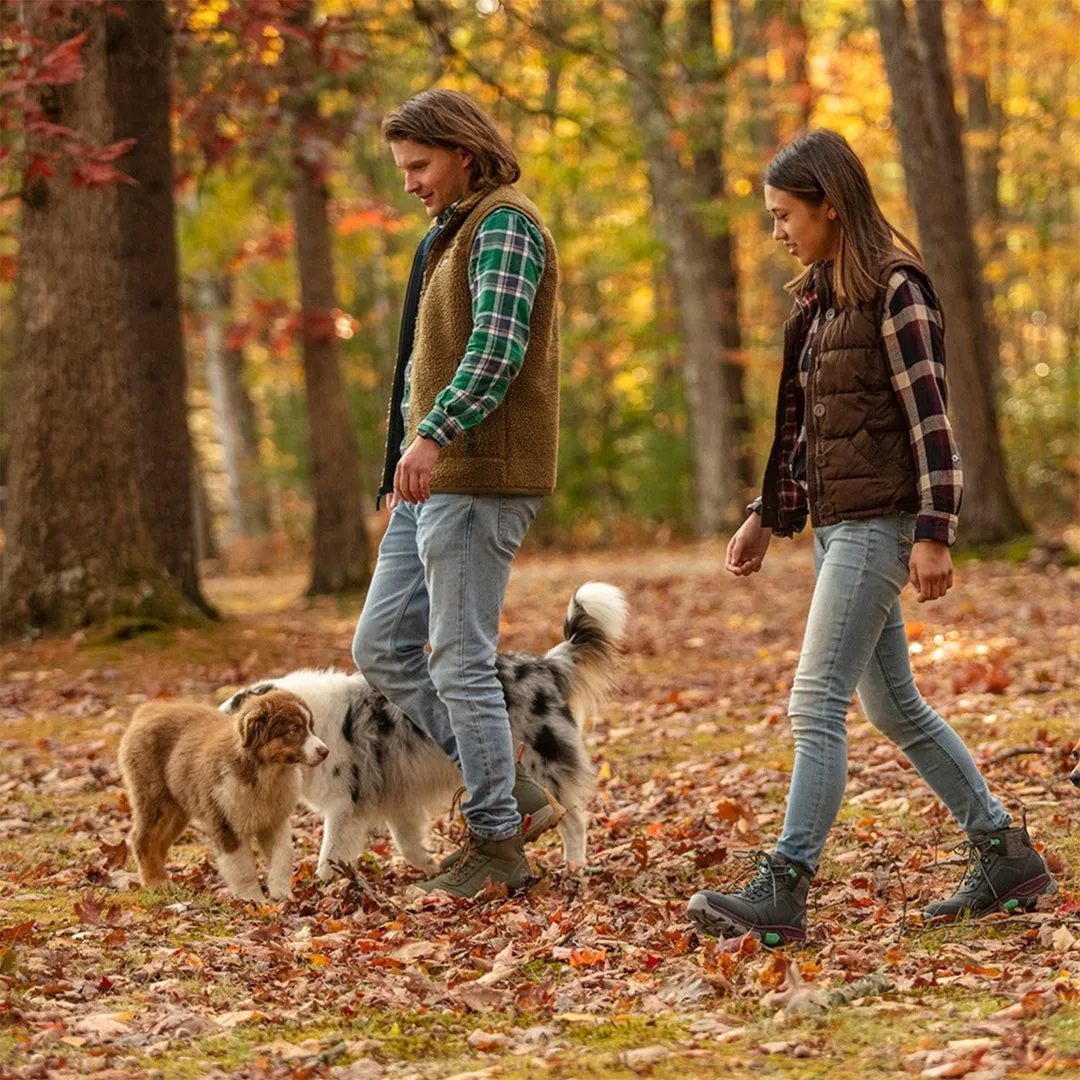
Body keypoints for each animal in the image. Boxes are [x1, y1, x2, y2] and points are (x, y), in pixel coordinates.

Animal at [118, 691, 326, 902]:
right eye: (294, 730)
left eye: (311, 727)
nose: (325, 751)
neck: (268, 774)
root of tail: (148, 709)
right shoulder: (225, 821)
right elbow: (243, 868)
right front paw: (254, 900)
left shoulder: (274, 820)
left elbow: (283, 855)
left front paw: (282, 894)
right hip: (154, 797)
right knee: (142, 838)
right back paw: (156, 883)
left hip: (177, 808)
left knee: (159, 843)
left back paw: (164, 882)